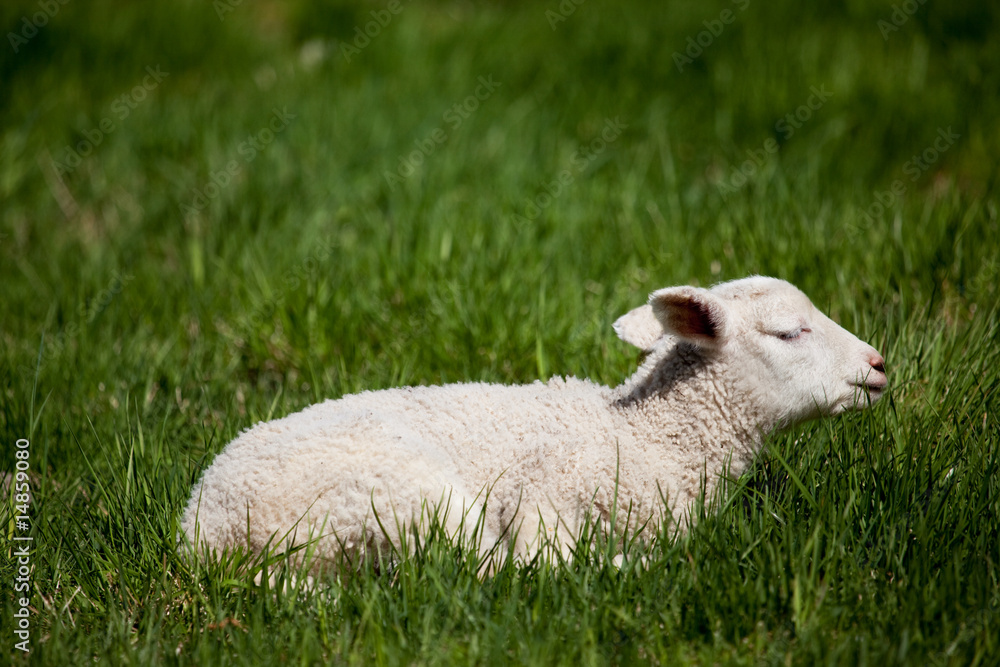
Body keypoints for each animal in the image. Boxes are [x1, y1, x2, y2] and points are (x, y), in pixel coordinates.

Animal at [181, 276, 887, 573]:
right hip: (398, 497)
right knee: (494, 572)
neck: (650, 435)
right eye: (789, 332)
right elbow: (541, 557)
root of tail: (204, 532)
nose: (879, 366)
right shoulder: (545, 486)